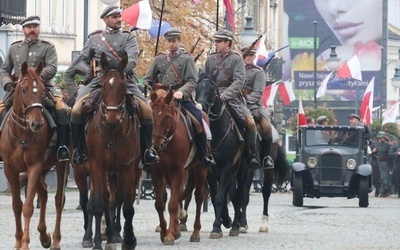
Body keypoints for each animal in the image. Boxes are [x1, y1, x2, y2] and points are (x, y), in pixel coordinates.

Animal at [0, 61, 69, 250]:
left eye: (42, 90)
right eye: (23, 89)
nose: (37, 123)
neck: (22, 133)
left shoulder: (34, 166)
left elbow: (28, 206)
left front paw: (25, 243)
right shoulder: (10, 169)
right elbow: (17, 205)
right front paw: (18, 242)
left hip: (62, 164)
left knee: (59, 199)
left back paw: (55, 240)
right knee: (44, 193)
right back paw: (44, 236)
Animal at [83, 51, 141, 249]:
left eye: (123, 85)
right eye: (101, 84)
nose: (112, 118)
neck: (112, 132)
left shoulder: (127, 168)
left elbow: (128, 207)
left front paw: (129, 240)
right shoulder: (96, 167)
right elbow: (98, 204)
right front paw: (97, 242)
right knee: (105, 200)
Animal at [149, 89, 208, 245]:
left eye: (167, 117)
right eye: (152, 115)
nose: (156, 144)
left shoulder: (178, 171)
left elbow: (173, 204)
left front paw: (169, 236)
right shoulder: (157, 172)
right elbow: (160, 203)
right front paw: (165, 232)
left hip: (200, 168)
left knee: (199, 196)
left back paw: (195, 232)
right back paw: (176, 228)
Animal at [194, 74, 247, 238]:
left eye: (212, 89)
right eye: (197, 88)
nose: (201, 108)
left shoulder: (226, 167)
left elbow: (219, 198)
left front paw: (217, 227)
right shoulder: (211, 170)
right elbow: (217, 195)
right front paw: (223, 219)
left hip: (242, 171)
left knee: (239, 195)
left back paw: (236, 225)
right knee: (232, 195)